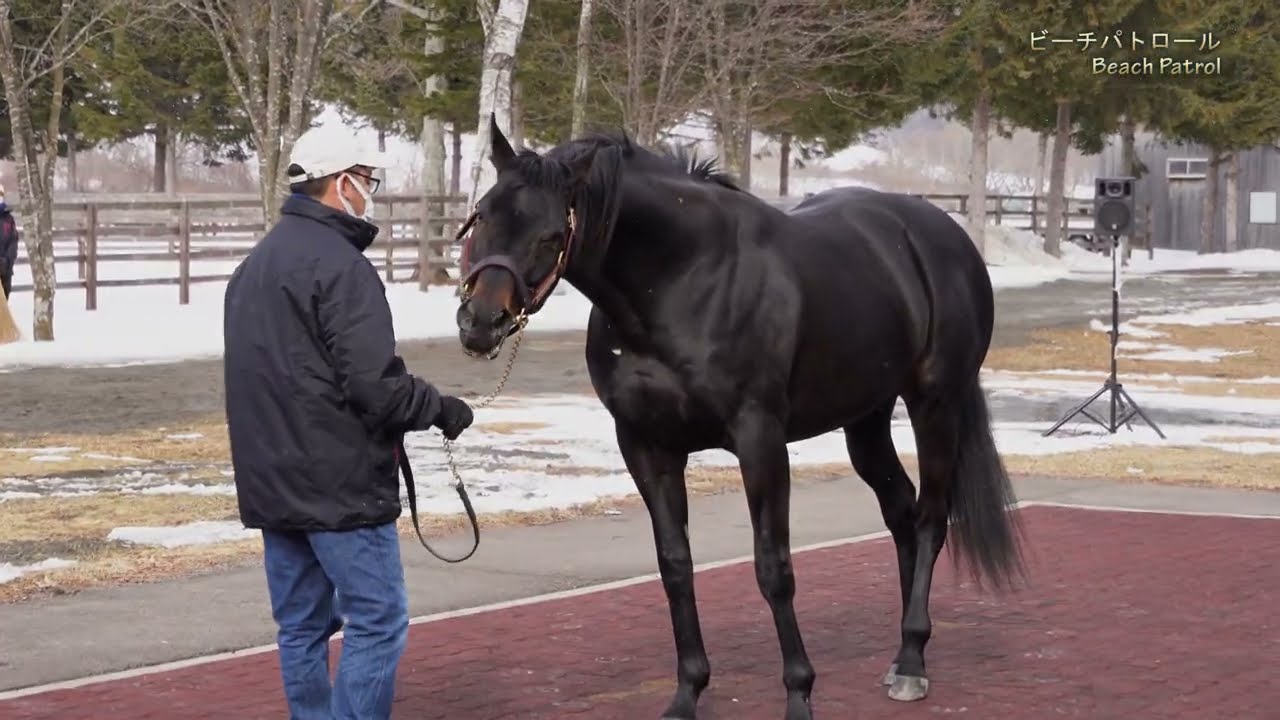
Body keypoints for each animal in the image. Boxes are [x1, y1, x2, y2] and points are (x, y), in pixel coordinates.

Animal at [453, 115, 1026, 720]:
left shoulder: (760, 441)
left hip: (935, 404)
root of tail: (944, 236)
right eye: (483, 214)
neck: (681, 279)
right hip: (866, 420)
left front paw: (799, 693)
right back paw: (904, 653)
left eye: (551, 234)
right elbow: (675, 566)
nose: (480, 322)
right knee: (901, 514)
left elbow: (773, 568)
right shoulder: (646, 445)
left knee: (931, 519)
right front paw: (687, 692)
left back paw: (913, 660)